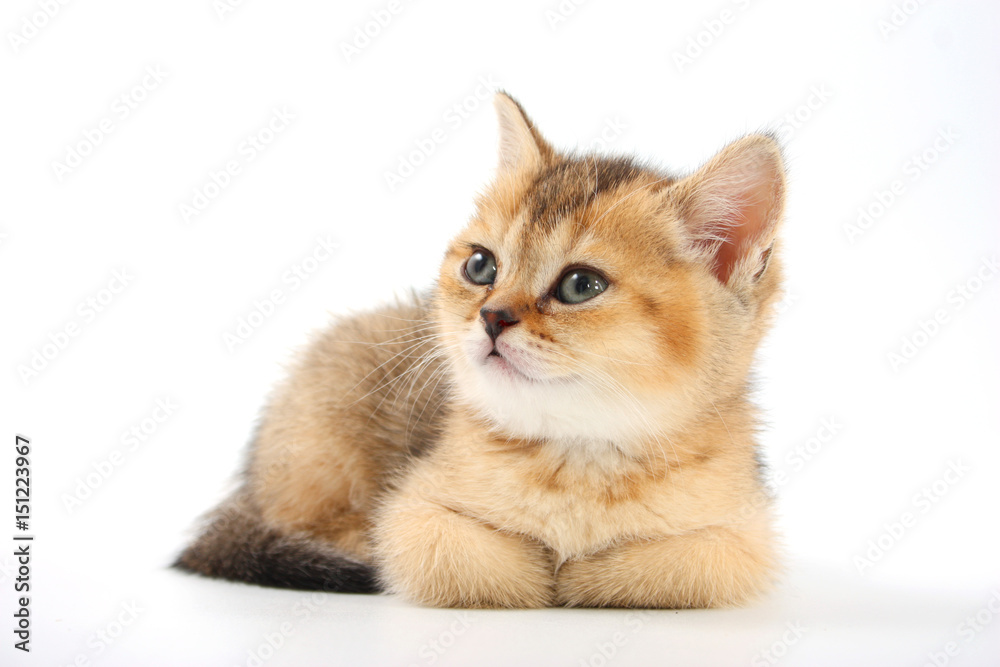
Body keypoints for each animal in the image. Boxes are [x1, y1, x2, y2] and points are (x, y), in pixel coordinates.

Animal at [178, 92, 788, 612]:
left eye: (581, 285)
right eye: (480, 266)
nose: (492, 316)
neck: (577, 459)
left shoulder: (741, 535)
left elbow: (674, 565)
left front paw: (585, 572)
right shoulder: (417, 513)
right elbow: (478, 564)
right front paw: (551, 573)